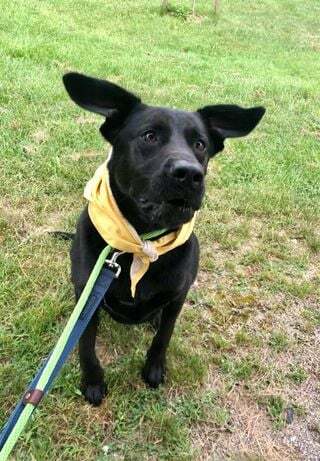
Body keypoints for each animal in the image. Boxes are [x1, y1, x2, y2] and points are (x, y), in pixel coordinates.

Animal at [63, 70, 264, 404]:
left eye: (200, 144)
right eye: (149, 136)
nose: (190, 174)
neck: (141, 245)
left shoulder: (177, 297)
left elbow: (163, 337)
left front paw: (154, 369)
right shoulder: (87, 296)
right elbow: (85, 344)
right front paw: (92, 381)